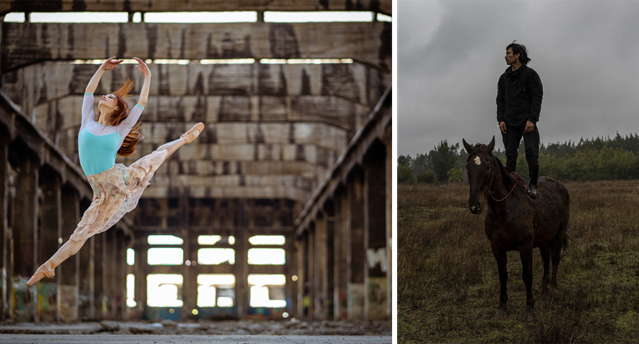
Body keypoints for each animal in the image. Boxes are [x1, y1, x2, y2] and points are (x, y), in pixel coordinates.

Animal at [462, 137, 572, 322]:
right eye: (468, 166)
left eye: (488, 166)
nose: (474, 205)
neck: (503, 211)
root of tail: (560, 186)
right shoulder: (497, 248)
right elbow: (503, 275)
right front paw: (501, 306)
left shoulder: (525, 247)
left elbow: (527, 276)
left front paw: (529, 309)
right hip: (543, 239)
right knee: (546, 258)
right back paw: (543, 288)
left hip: (558, 234)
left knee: (555, 258)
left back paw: (552, 290)